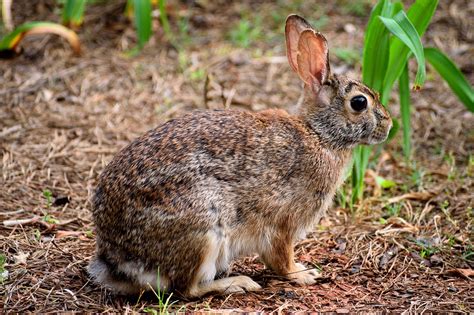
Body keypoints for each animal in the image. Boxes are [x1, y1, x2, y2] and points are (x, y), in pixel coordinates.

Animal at [89, 13, 392, 298]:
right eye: (359, 103)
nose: (388, 126)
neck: (318, 133)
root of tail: (118, 259)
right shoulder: (283, 222)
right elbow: (281, 257)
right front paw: (303, 274)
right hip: (205, 229)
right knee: (185, 288)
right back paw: (237, 283)